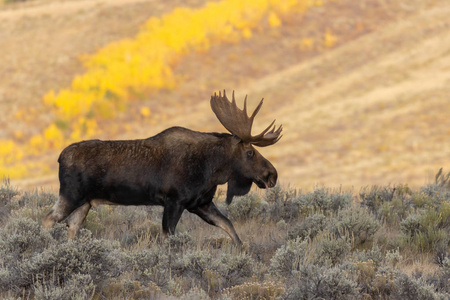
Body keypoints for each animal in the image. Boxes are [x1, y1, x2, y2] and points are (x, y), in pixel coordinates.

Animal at [42, 90, 282, 245]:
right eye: (250, 152)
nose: (272, 175)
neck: (211, 169)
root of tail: (60, 157)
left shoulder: (200, 203)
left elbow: (230, 227)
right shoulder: (174, 200)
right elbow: (168, 239)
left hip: (85, 203)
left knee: (71, 228)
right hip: (71, 195)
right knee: (47, 220)